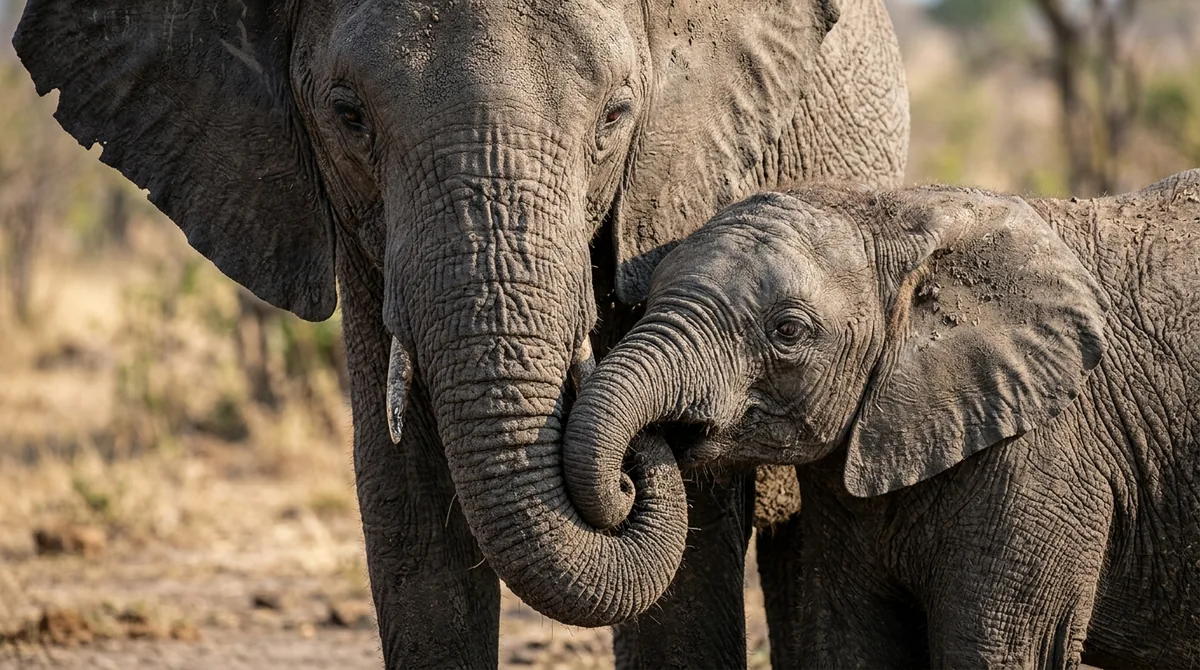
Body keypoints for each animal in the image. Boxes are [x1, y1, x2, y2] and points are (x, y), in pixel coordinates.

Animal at [564, 171, 1200, 669]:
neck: (900, 214)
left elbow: (1002, 650)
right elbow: (852, 641)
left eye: (787, 331)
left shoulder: (1048, 461)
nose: (631, 474)